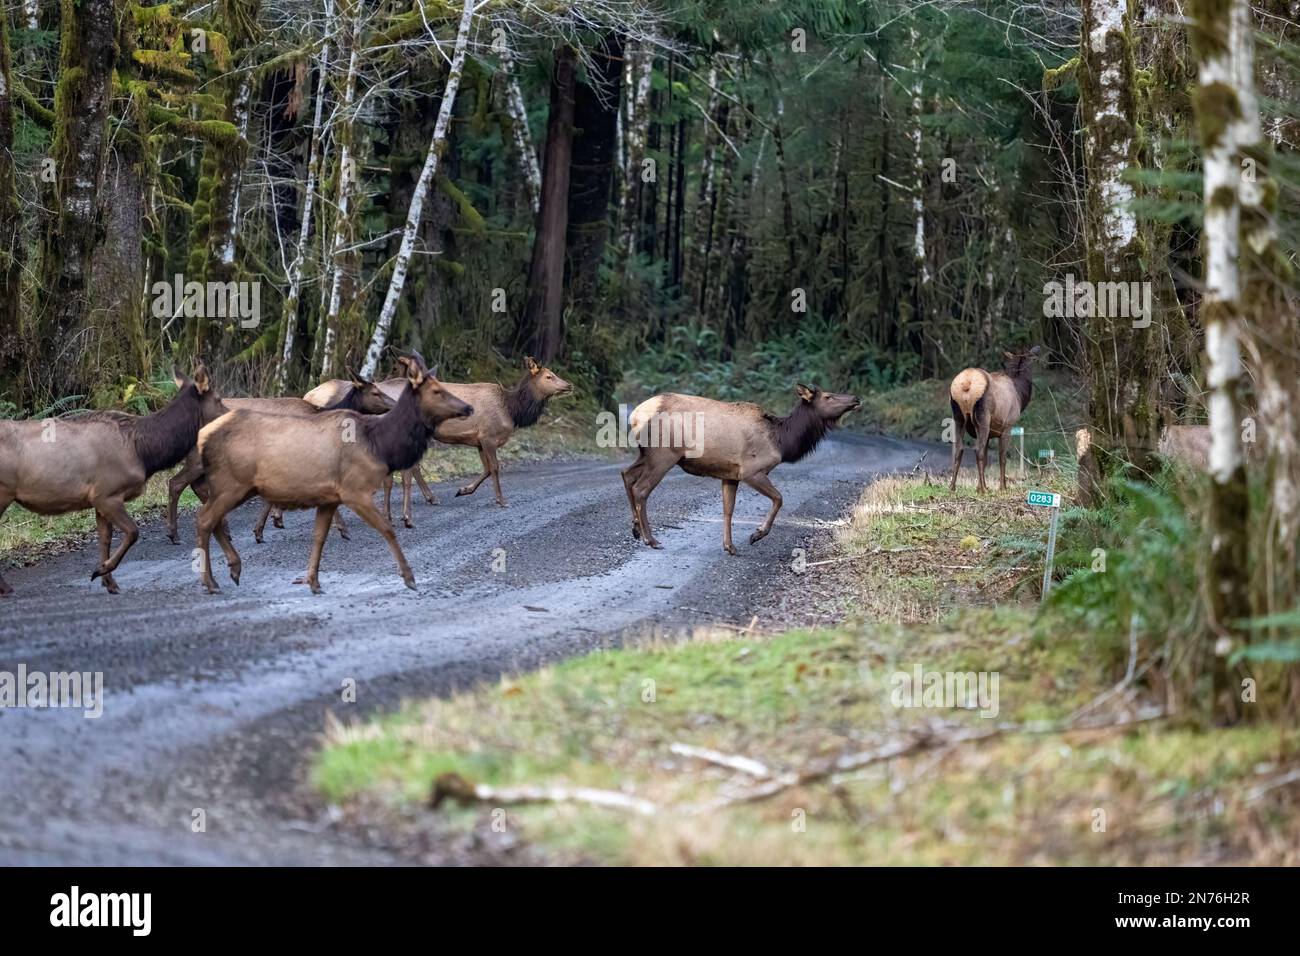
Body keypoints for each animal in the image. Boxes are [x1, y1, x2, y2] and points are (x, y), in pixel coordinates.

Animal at [0, 369, 224, 598]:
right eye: (218, 398)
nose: (230, 414)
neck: (145, 453)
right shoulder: (107, 494)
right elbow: (133, 532)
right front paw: (100, 571)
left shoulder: (98, 499)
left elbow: (105, 538)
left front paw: (109, 581)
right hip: (3, 491)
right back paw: (6, 588)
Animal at [195, 348, 470, 595]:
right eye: (375, 391)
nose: (468, 407)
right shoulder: (342, 484)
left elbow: (314, 529)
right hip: (227, 482)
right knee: (204, 516)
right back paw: (213, 577)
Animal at [621, 385, 857, 556]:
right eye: (828, 396)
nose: (856, 399)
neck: (781, 442)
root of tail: (634, 416)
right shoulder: (751, 471)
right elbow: (779, 498)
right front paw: (756, 534)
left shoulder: (730, 475)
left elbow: (728, 510)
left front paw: (730, 546)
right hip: (664, 454)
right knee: (641, 489)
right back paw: (651, 539)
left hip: (646, 454)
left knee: (626, 474)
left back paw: (635, 529)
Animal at [951, 345, 1040, 494]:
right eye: (1032, 360)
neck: (1020, 395)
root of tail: (967, 384)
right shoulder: (1008, 426)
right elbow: (1002, 457)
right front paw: (1002, 487)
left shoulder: (990, 433)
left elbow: (987, 459)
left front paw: (980, 486)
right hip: (983, 418)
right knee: (978, 451)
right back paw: (983, 490)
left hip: (958, 418)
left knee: (958, 450)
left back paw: (952, 486)